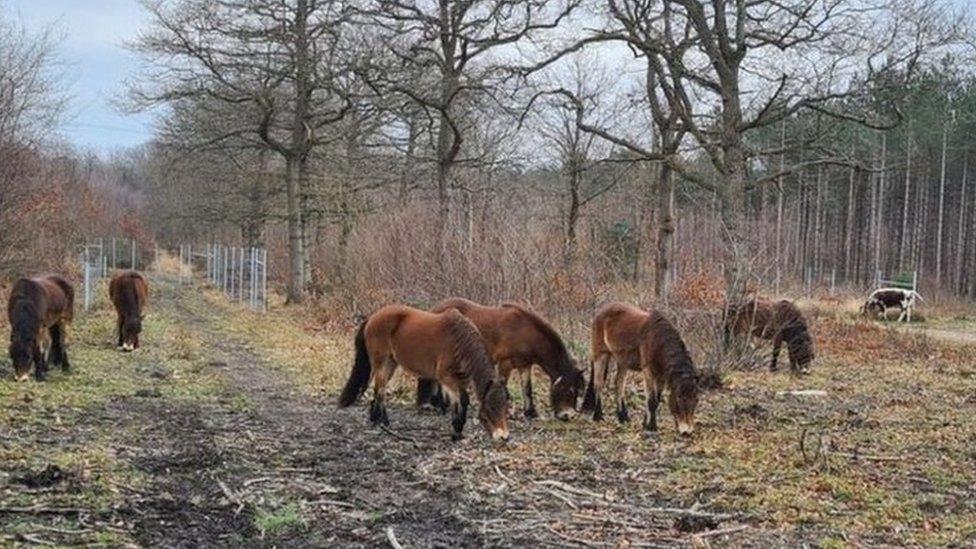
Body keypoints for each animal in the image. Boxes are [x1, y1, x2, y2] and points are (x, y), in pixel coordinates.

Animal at [340, 304, 510, 440]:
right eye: (491, 408)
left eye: (505, 407)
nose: (504, 437)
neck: (458, 343)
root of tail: (372, 317)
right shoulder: (447, 379)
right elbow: (461, 400)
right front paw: (456, 430)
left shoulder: (461, 380)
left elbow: (463, 401)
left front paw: (458, 430)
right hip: (381, 363)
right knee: (379, 390)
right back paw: (380, 421)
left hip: (390, 364)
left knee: (379, 390)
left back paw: (380, 421)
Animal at [416, 300, 584, 420]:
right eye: (569, 390)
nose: (568, 416)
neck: (525, 331)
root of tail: (434, 310)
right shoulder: (505, 364)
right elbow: (504, 389)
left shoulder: (524, 365)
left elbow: (527, 389)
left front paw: (531, 413)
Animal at [584, 302, 696, 434]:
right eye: (679, 400)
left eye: (695, 402)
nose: (687, 432)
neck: (657, 340)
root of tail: (601, 311)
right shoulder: (648, 372)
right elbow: (651, 400)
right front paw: (652, 427)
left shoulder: (661, 376)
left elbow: (656, 400)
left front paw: (645, 424)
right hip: (601, 356)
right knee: (598, 384)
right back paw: (598, 415)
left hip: (623, 362)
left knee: (618, 385)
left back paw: (623, 416)